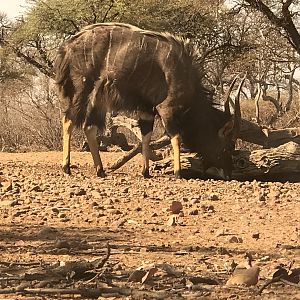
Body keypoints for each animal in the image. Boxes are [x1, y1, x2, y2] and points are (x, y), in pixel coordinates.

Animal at [53, 22, 241, 180]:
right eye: (229, 146)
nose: (229, 172)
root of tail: (66, 49)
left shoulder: (147, 110)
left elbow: (146, 136)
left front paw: (146, 172)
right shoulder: (166, 108)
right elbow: (175, 137)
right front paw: (178, 172)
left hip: (97, 100)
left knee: (88, 127)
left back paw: (100, 170)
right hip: (82, 90)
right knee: (68, 120)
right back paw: (66, 167)